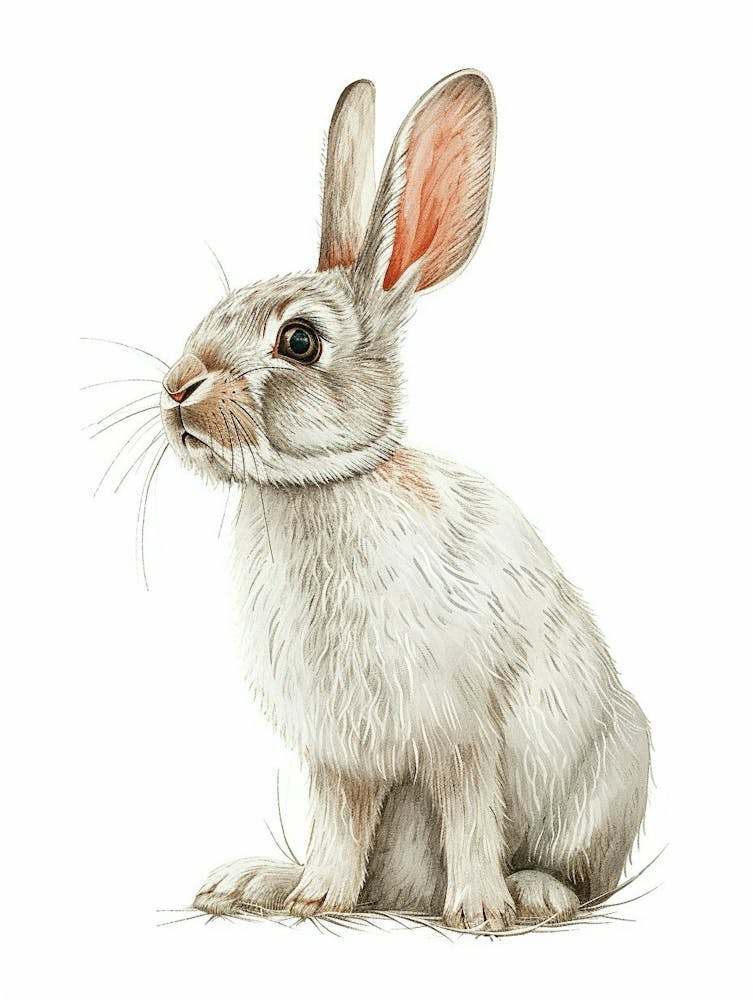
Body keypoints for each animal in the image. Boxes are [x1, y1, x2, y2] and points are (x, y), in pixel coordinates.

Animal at [158, 70, 651, 931]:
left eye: (298, 342)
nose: (178, 388)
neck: (322, 486)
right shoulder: (339, 756)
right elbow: (340, 826)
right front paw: (316, 899)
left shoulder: (463, 732)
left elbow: (470, 813)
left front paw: (478, 913)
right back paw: (257, 882)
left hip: (608, 778)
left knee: (578, 872)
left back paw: (531, 893)